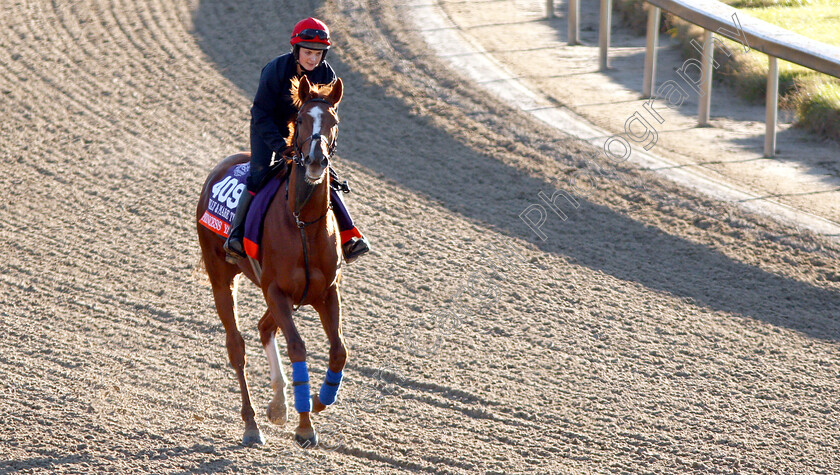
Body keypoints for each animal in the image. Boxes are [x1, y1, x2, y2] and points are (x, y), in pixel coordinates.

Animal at [199, 76, 346, 448]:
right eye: (302, 119)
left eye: (334, 121)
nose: (315, 160)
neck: (302, 222)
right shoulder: (277, 291)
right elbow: (297, 347)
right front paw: (305, 424)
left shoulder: (326, 291)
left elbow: (339, 350)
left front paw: (319, 400)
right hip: (222, 277)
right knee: (236, 346)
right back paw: (252, 424)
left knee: (265, 328)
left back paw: (279, 405)